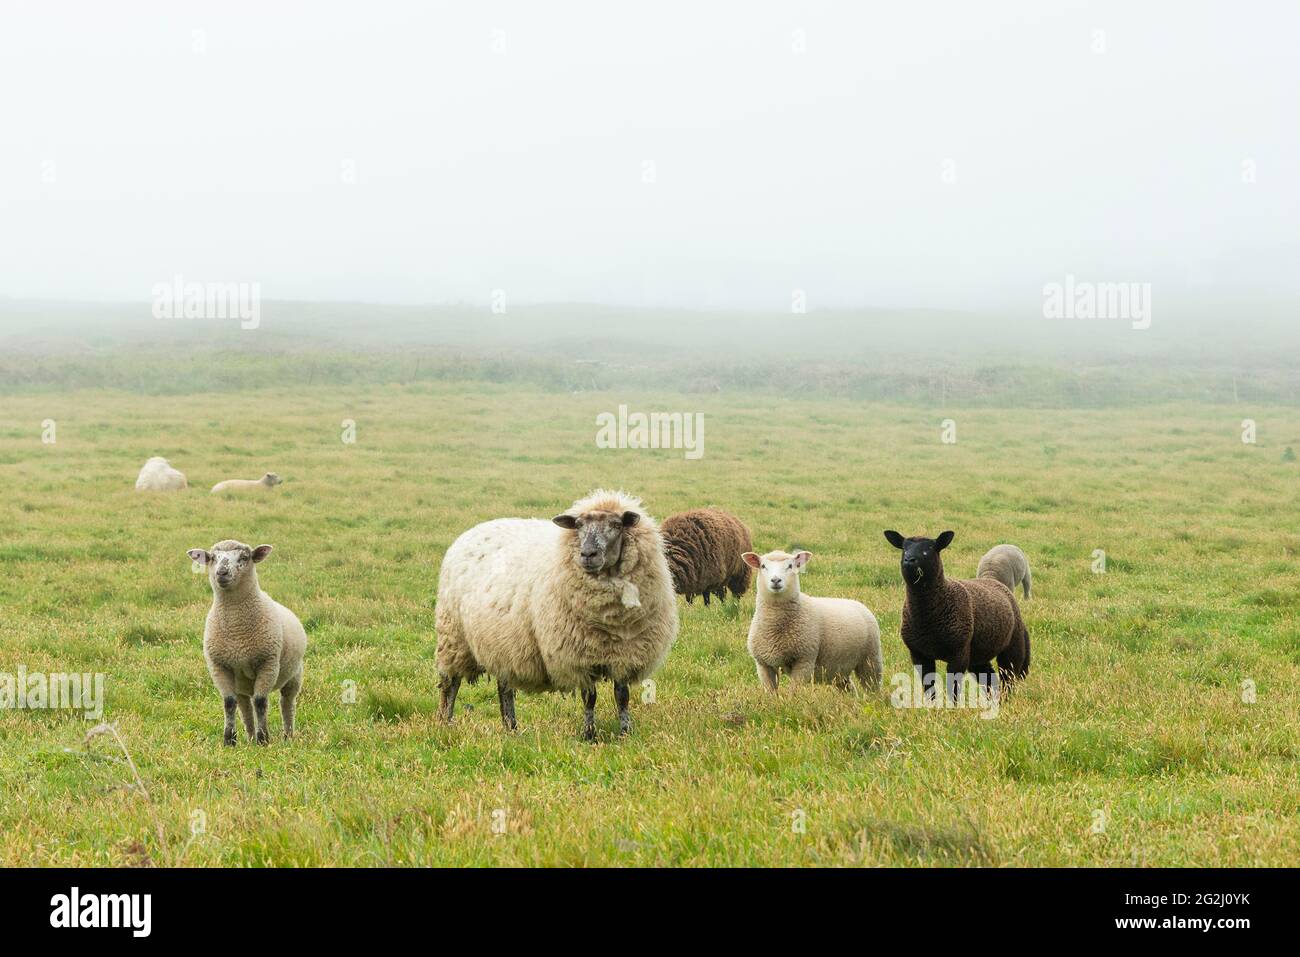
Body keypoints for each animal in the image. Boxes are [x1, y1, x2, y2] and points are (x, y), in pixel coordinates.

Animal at [187, 538, 305, 748]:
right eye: (213, 558)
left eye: (244, 557)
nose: (222, 573)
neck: (237, 630)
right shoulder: (219, 666)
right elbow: (228, 703)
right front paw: (229, 740)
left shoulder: (268, 663)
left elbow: (261, 702)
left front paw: (263, 739)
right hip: (241, 683)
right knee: (244, 706)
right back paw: (249, 737)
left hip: (294, 675)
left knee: (287, 703)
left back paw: (287, 736)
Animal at [436, 486, 681, 738]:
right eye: (579, 525)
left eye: (616, 525)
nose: (587, 554)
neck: (612, 620)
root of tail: (473, 530)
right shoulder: (578, 657)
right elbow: (589, 697)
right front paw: (589, 734)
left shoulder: (626, 654)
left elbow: (622, 696)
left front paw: (625, 732)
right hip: (453, 635)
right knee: (450, 682)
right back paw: (445, 721)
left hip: (504, 641)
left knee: (504, 687)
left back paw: (511, 727)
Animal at [743, 548, 883, 691]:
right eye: (763, 566)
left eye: (790, 566)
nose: (776, 580)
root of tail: (858, 604)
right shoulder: (763, 664)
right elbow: (771, 691)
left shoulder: (804, 661)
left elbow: (793, 692)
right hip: (837, 668)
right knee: (848, 688)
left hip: (870, 659)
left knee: (872, 685)